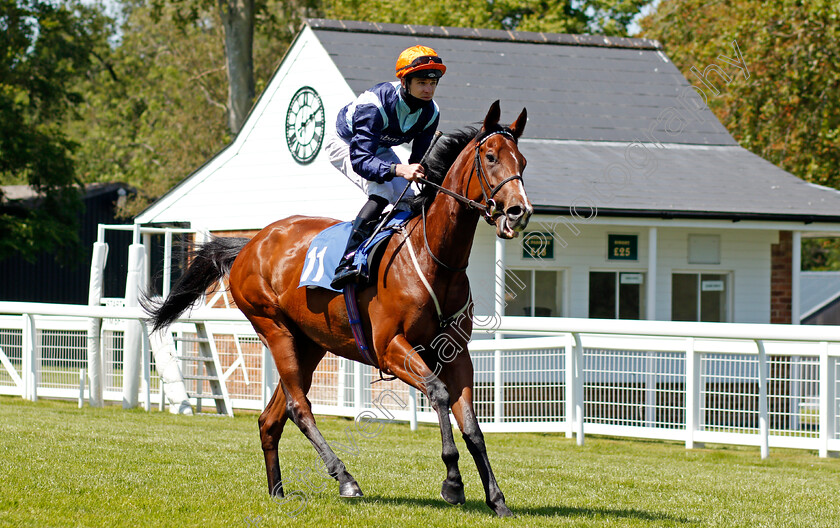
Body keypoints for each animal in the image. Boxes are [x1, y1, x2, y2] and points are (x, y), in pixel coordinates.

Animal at [141, 100, 528, 516]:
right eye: (490, 157)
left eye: (522, 160)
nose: (519, 211)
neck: (433, 257)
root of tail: (249, 243)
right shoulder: (390, 347)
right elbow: (438, 392)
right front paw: (453, 482)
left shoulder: (456, 354)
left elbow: (472, 426)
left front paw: (497, 499)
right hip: (273, 327)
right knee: (299, 407)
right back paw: (345, 479)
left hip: (309, 343)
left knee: (271, 418)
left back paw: (277, 491)